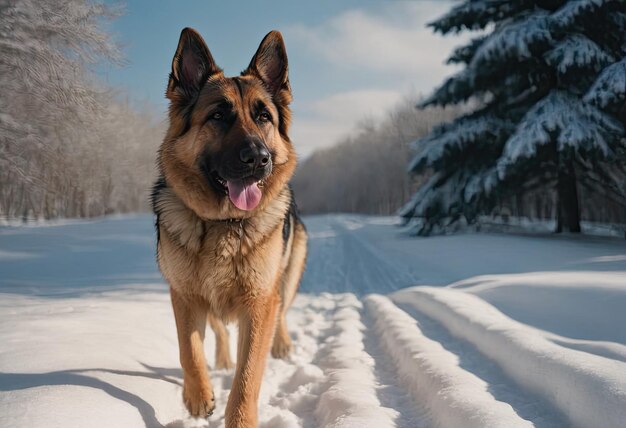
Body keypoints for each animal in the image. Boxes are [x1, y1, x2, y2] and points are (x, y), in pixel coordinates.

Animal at [152, 28, 308, 426]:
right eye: (219, 115)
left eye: (263, 116)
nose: (258, 158)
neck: (224, 224)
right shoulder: (185, 296)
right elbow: (188, 350)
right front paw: (197, 396)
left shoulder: (259, 303)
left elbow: (248, 373)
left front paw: (239, 417)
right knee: (220, 328)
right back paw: (221, 361)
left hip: (287, 276)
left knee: (282, 311)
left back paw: (282, 343)